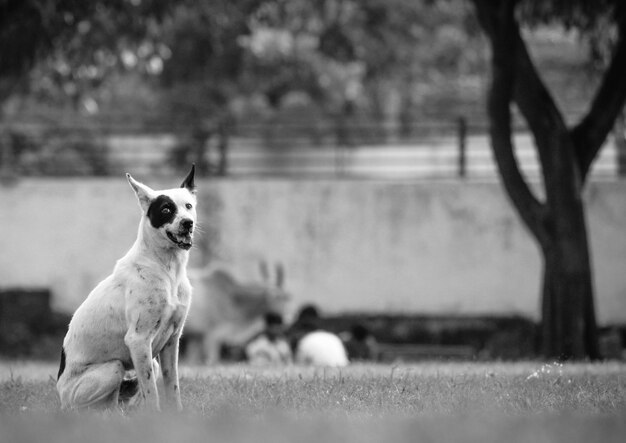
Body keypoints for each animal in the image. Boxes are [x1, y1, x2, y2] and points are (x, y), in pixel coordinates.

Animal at [58, 166, 197, 412]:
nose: (188, 223)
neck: (167, 269)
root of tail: (59, 394)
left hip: (147, 363)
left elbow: (173, 388)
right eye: (166, 209)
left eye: (188, 206)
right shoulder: (138, 340)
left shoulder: (172, 341)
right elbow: (152, 393)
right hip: (111, 369)